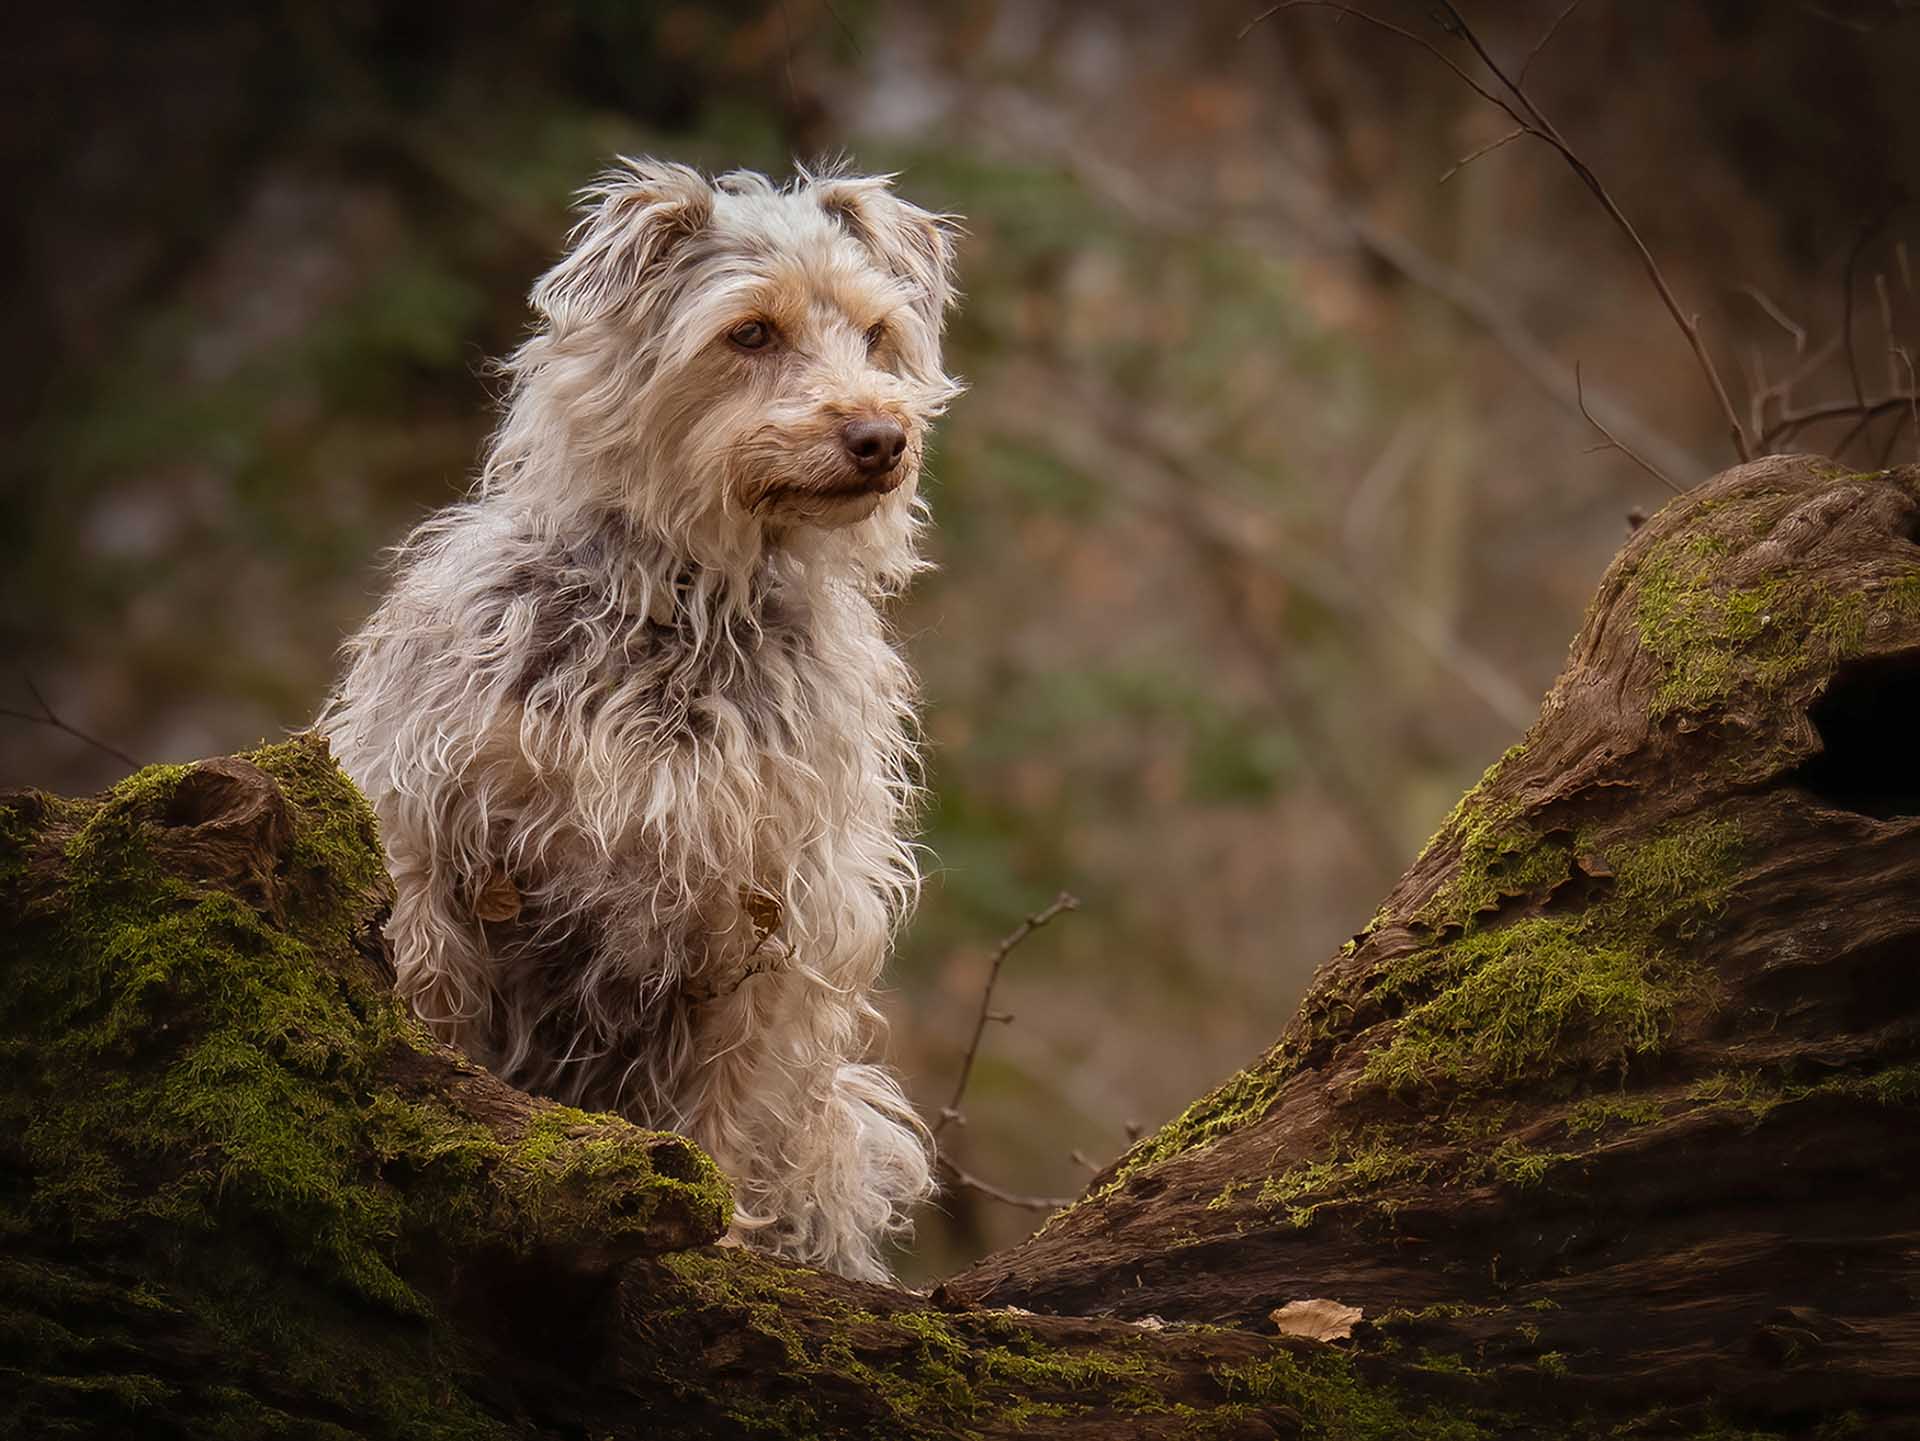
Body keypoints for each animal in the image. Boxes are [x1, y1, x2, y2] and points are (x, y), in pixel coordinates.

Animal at [319, 158, 960, 1282]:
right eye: (750, 333)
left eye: (878, 335)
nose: (882, 436)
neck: (684, 608)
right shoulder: (427, 835)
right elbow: (427, 996)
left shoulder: (781, 914)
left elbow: (733, 1097)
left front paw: (724, 1227)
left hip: (850, 1123)